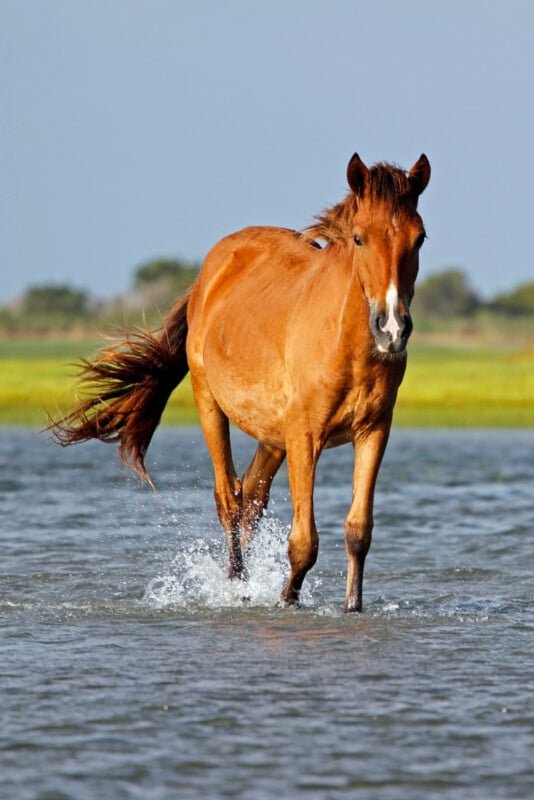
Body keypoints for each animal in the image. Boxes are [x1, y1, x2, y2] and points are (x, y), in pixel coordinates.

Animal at [50, 152, 430, 612]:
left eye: (420, 238)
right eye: (359, 238)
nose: (392, 328)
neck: (345, 342)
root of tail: (211, 270)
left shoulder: (372, 431)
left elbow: (358, 532)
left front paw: (352, 609)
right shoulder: (306, 435)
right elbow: (304, 542)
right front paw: (286, 603)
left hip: (273, 434)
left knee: (251, 498)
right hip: (211, 404)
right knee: (229, 499)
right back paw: (238, 587)